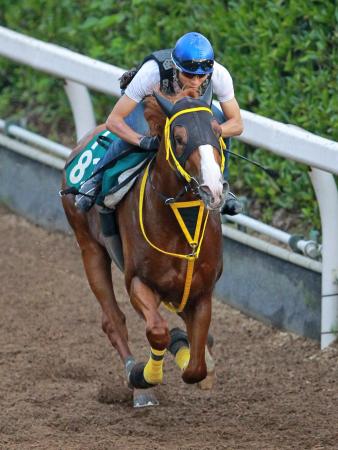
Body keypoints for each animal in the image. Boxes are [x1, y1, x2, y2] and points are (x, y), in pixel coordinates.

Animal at [62, 84, 228, 408]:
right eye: (179, 138)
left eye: (217, 133)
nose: (213, 190)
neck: (181, 223)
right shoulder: (138, 281)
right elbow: (158, 331)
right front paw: (145, 376)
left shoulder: (202, 292)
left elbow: (196, 367)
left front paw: (192, 351)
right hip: (89, 248)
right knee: (113, 320)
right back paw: (138, 385)